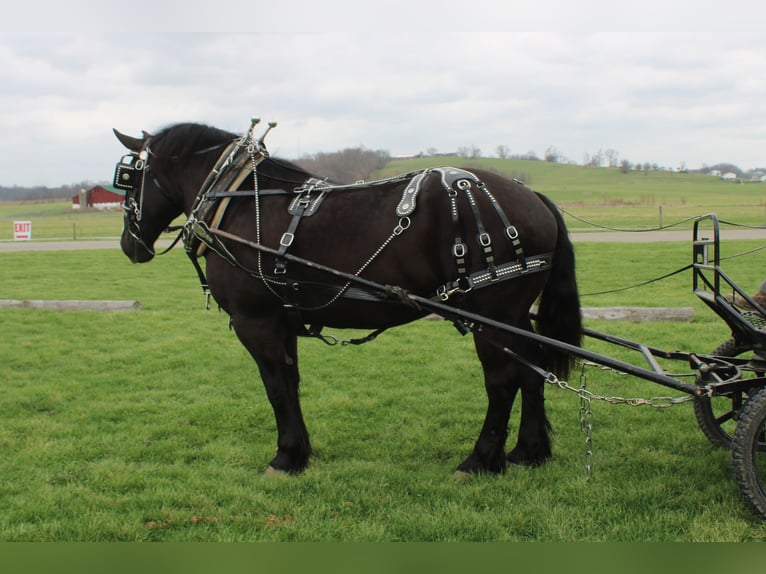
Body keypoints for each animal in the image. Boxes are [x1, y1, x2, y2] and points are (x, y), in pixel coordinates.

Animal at [112, 120, 582, 475]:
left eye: (127, 177)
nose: (128, 245)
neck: (238, 201)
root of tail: (533, 198)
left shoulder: (255, 320)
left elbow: (275, 386)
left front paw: (285, 456)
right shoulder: (282, 319)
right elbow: (291, 382)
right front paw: (301, 451)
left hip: (491, 316)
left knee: (502, 381)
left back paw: (481, 460)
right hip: (515, 316)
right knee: (532, 371)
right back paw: (528, 451)